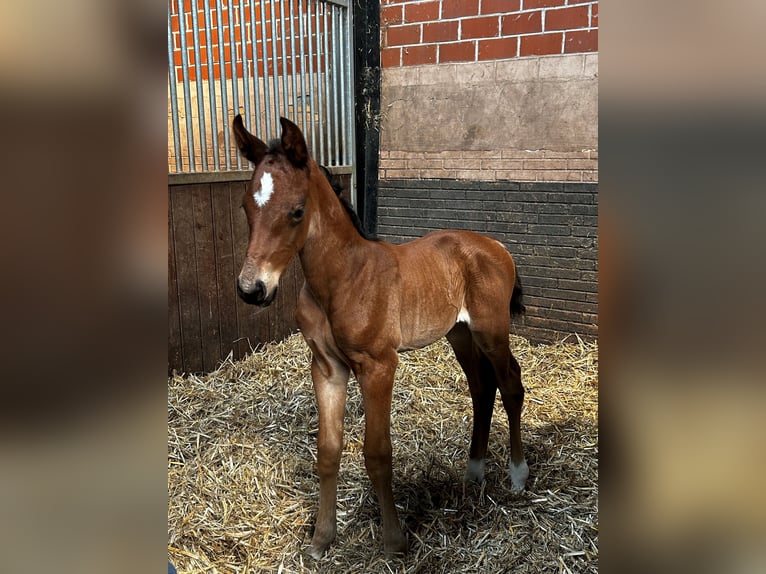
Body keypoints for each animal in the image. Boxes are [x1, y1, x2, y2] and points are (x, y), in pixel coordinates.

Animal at [234, 115, 532, 560]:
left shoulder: (378, 365)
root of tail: (496, 245)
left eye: (297, 210)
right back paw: (474, 471)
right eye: (246, 205)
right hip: (459, 334)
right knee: (481, 388)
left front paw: (394, 542)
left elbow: (377, 453)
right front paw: (321, 539)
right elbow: (328, 450)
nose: (252, 289)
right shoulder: (327, 367)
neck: (341, 279)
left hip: (491, 329)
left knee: (511, 383)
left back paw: (517, 475)